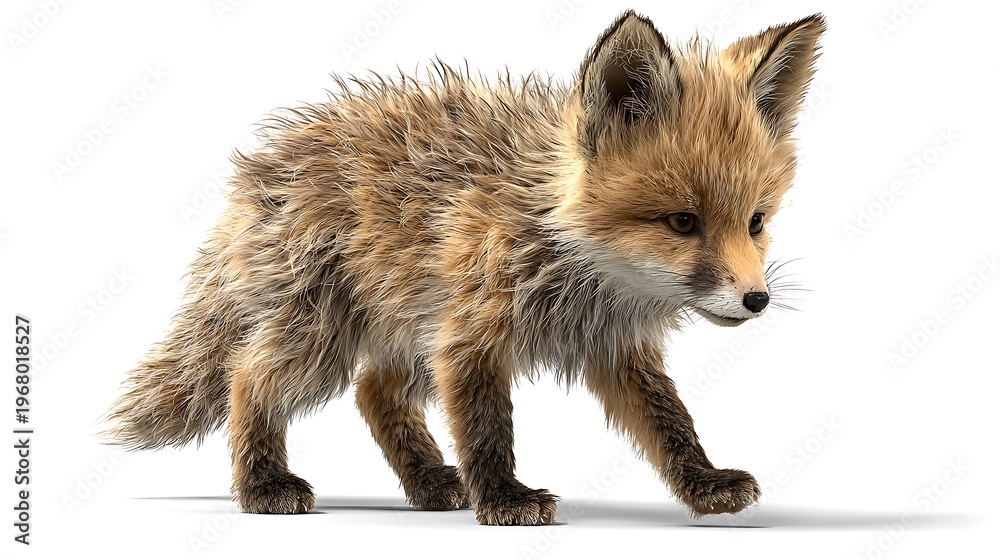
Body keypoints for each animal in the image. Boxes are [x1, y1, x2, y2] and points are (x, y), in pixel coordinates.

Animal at [103, 10, 825, 525]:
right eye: (682, 222)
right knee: (248, 377)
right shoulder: (469, 334)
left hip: (400, 329)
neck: (578, 266)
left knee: (373, 391)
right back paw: (263, 485)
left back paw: (427, 481)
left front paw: (704, 485)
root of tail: (263, 169)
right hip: (322, 335)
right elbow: (486, 429)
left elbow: (671, 424)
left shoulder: (614, 346)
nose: (757, 299)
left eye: (755, 222)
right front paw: (504, 498)